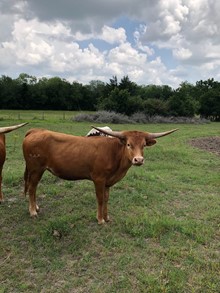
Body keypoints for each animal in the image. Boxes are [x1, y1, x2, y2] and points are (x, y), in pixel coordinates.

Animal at [22, 126, 178, 224]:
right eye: (128, 144)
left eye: (144, 145)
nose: (138, 160)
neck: (114, 154)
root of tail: (35, 131)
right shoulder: (98, 179)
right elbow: (100, 199)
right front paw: (100, 219)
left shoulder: (108, 182)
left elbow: (107, 198)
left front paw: (107, 217)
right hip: (36, 169)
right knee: (32, 188)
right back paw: (33, 212)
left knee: (32, 188)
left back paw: (35, 207)